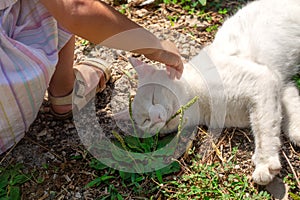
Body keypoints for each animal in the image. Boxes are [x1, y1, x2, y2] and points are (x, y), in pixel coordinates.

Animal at [123, 0, 298, 185]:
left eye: (154, 97)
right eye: (145, 121)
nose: (156, 117)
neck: (203, 105)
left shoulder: (262, 80)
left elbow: (264, 129)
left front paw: (265, 163)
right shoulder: (279, 84)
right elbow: (287, 113)